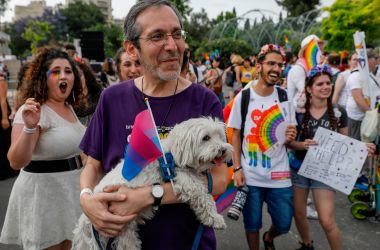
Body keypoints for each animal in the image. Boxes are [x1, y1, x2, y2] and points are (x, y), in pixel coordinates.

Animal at [71, 117, 232, 250]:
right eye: (206, 137)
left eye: (220, 136)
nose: (223, 150)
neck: (172, 154)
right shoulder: (182, 178)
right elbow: (203, 197)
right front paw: (215, 219)